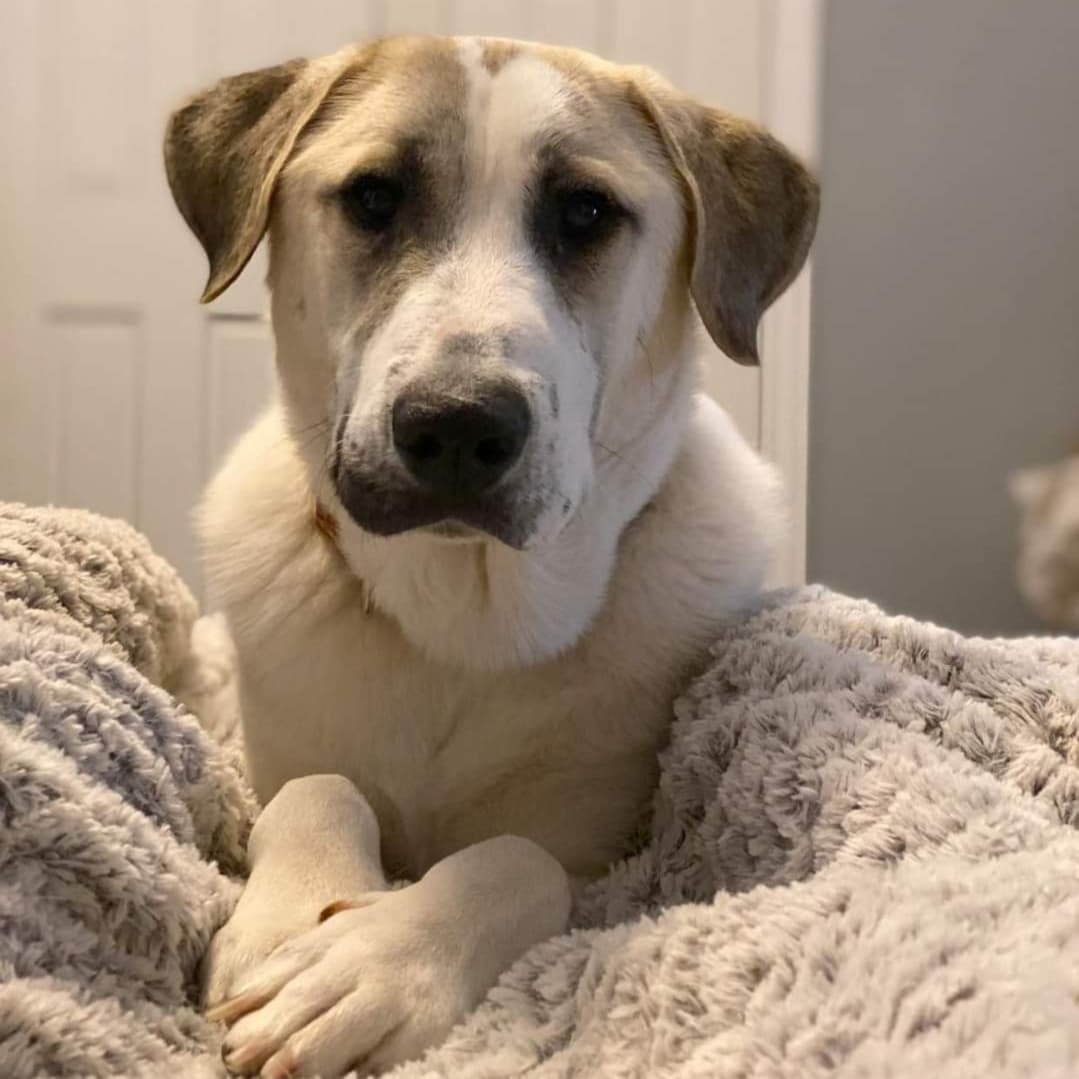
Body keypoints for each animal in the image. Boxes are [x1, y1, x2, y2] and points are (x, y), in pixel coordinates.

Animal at [164, 35, 811, 1079]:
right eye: (374, 197)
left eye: (586, 212)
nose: (458, 426)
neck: (461, 623)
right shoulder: (267, 760)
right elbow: (314, 789)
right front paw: (282, 926)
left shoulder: (607, 852)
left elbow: (515, 858)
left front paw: (368, 967)